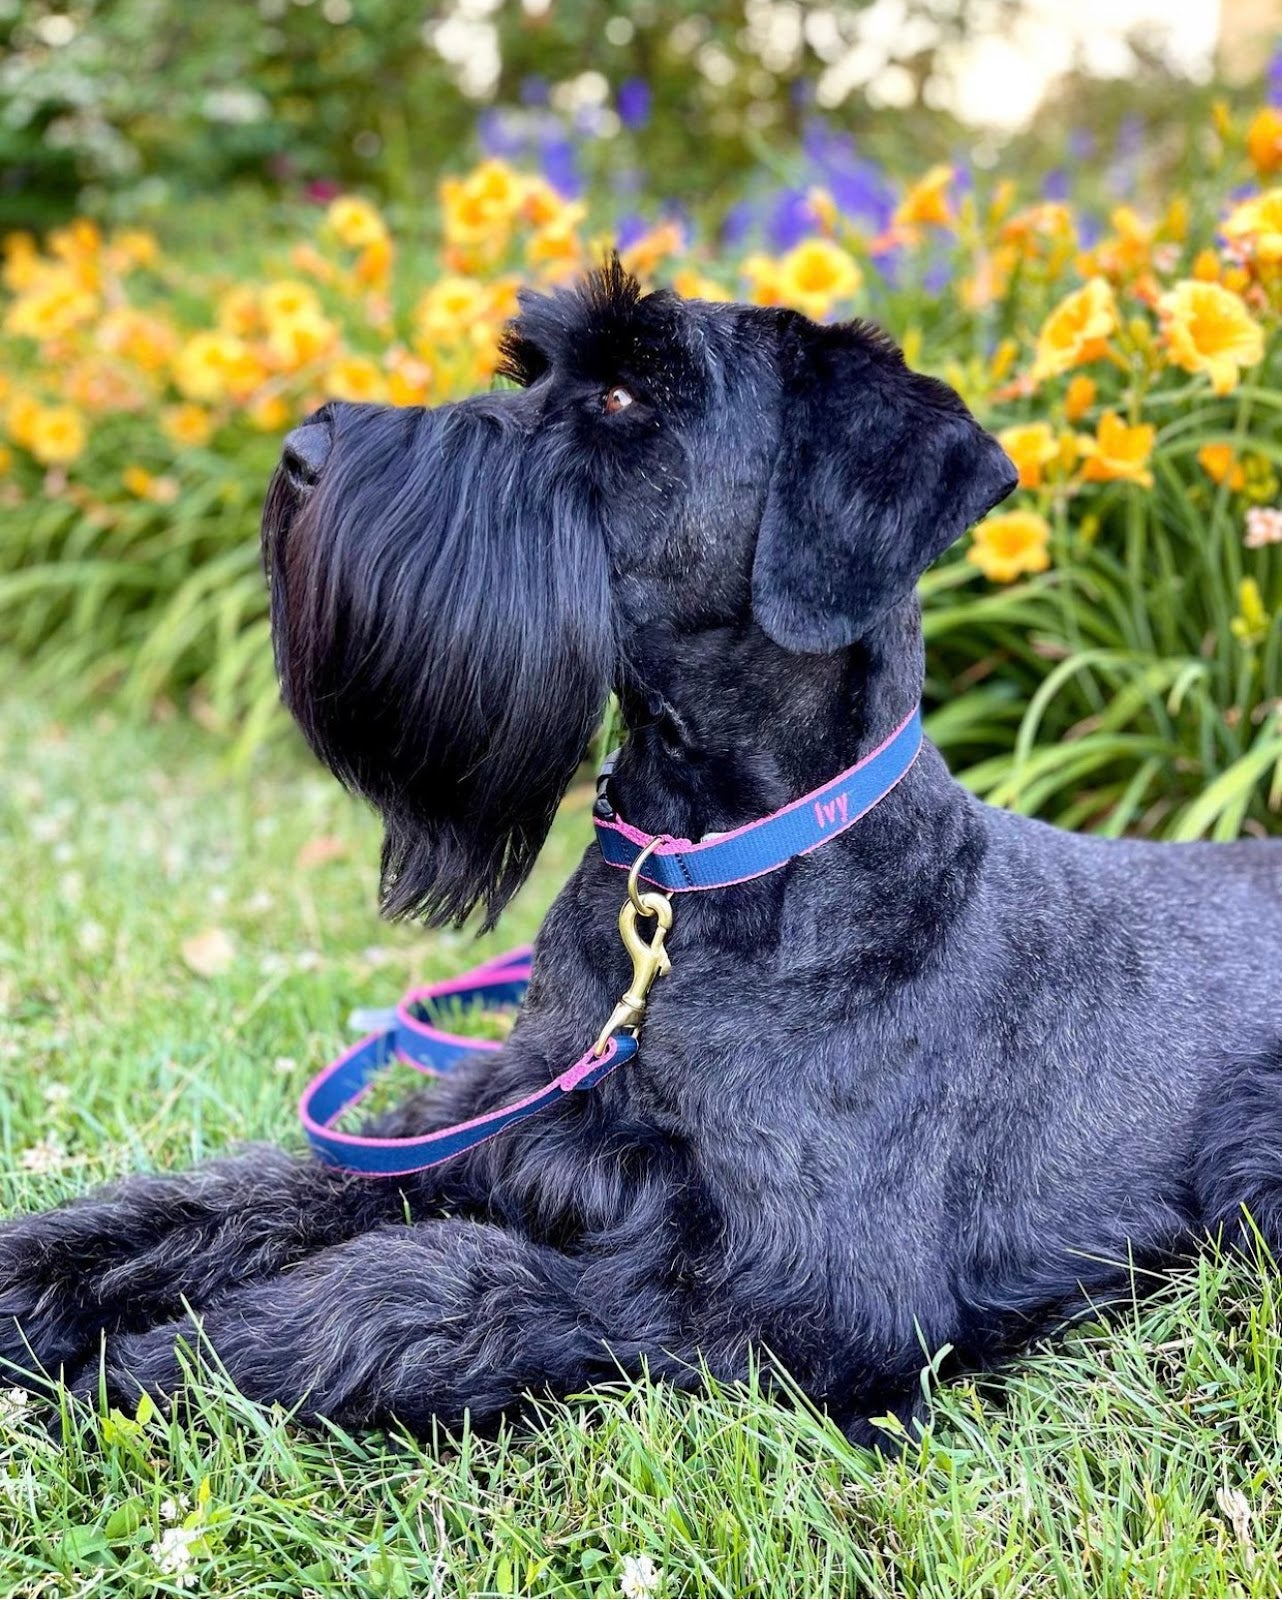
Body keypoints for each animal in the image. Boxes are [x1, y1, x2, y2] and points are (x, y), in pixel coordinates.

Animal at [2, 265, 1280, 1452]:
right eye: (532, 372)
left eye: (623, 396)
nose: (303, 451)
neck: (698, 879)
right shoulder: (494, 1119)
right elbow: (249, 1193)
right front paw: (38, 1274)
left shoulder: (805, 1298)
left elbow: (439, 1283)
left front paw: (173, 1360)